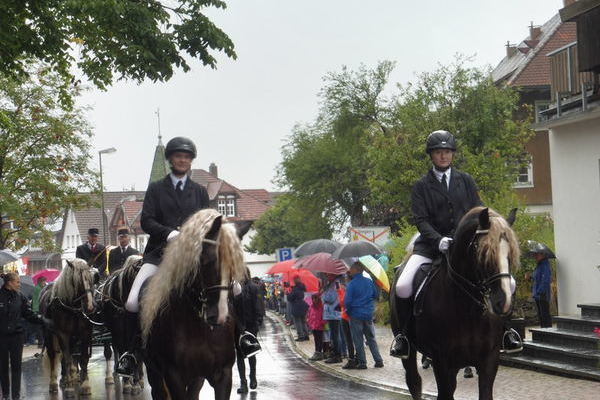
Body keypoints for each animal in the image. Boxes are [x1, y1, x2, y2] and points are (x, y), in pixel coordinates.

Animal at [39, 260, 98, 396]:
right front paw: (70, 388)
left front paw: (85, 385)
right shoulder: (63, 334)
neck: (73, 308)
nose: (90, 306)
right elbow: (67, 359)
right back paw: (54, 382)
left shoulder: (85, 333)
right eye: (78, 281)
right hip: (48, 333)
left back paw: (66, 378)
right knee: (53, 355)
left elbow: (83, 358)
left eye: (91, 279)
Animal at [140, 209, 248, 400]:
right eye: (205, 260)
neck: (199, 328)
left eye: (234, 266)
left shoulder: (223, 374)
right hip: (154, 372)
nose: (219, 316)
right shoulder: (173, 375)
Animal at [392, 208, 516, 400]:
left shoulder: (489, 360)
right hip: (410, 352)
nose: (503, 302)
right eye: (482, 250)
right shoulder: (441, 361)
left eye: (509, 250)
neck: (468, 311)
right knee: (414, 382)